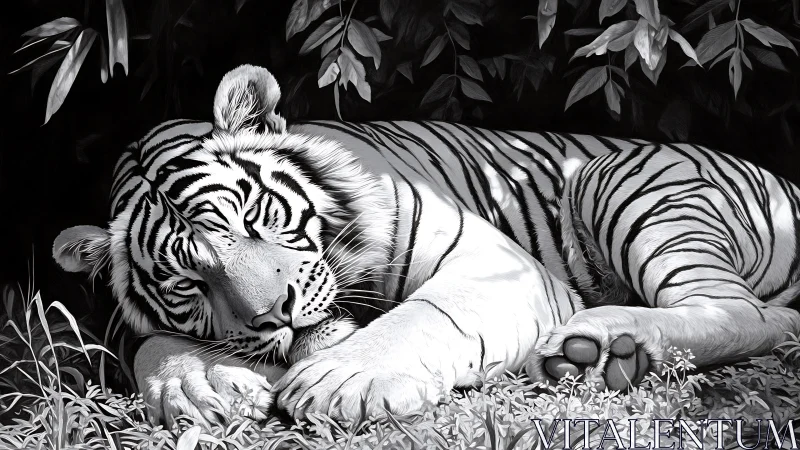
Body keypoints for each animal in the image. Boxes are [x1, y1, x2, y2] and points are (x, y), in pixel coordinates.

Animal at [52, 64, 800, 427]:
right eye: (191, 282)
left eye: (253, 219)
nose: (276, 313)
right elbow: (152, 343)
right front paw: (200, 385)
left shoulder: (498, 263)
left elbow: (426, 314)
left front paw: (342, 382)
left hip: (622, 179)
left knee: (755, 314)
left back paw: (603, 341)